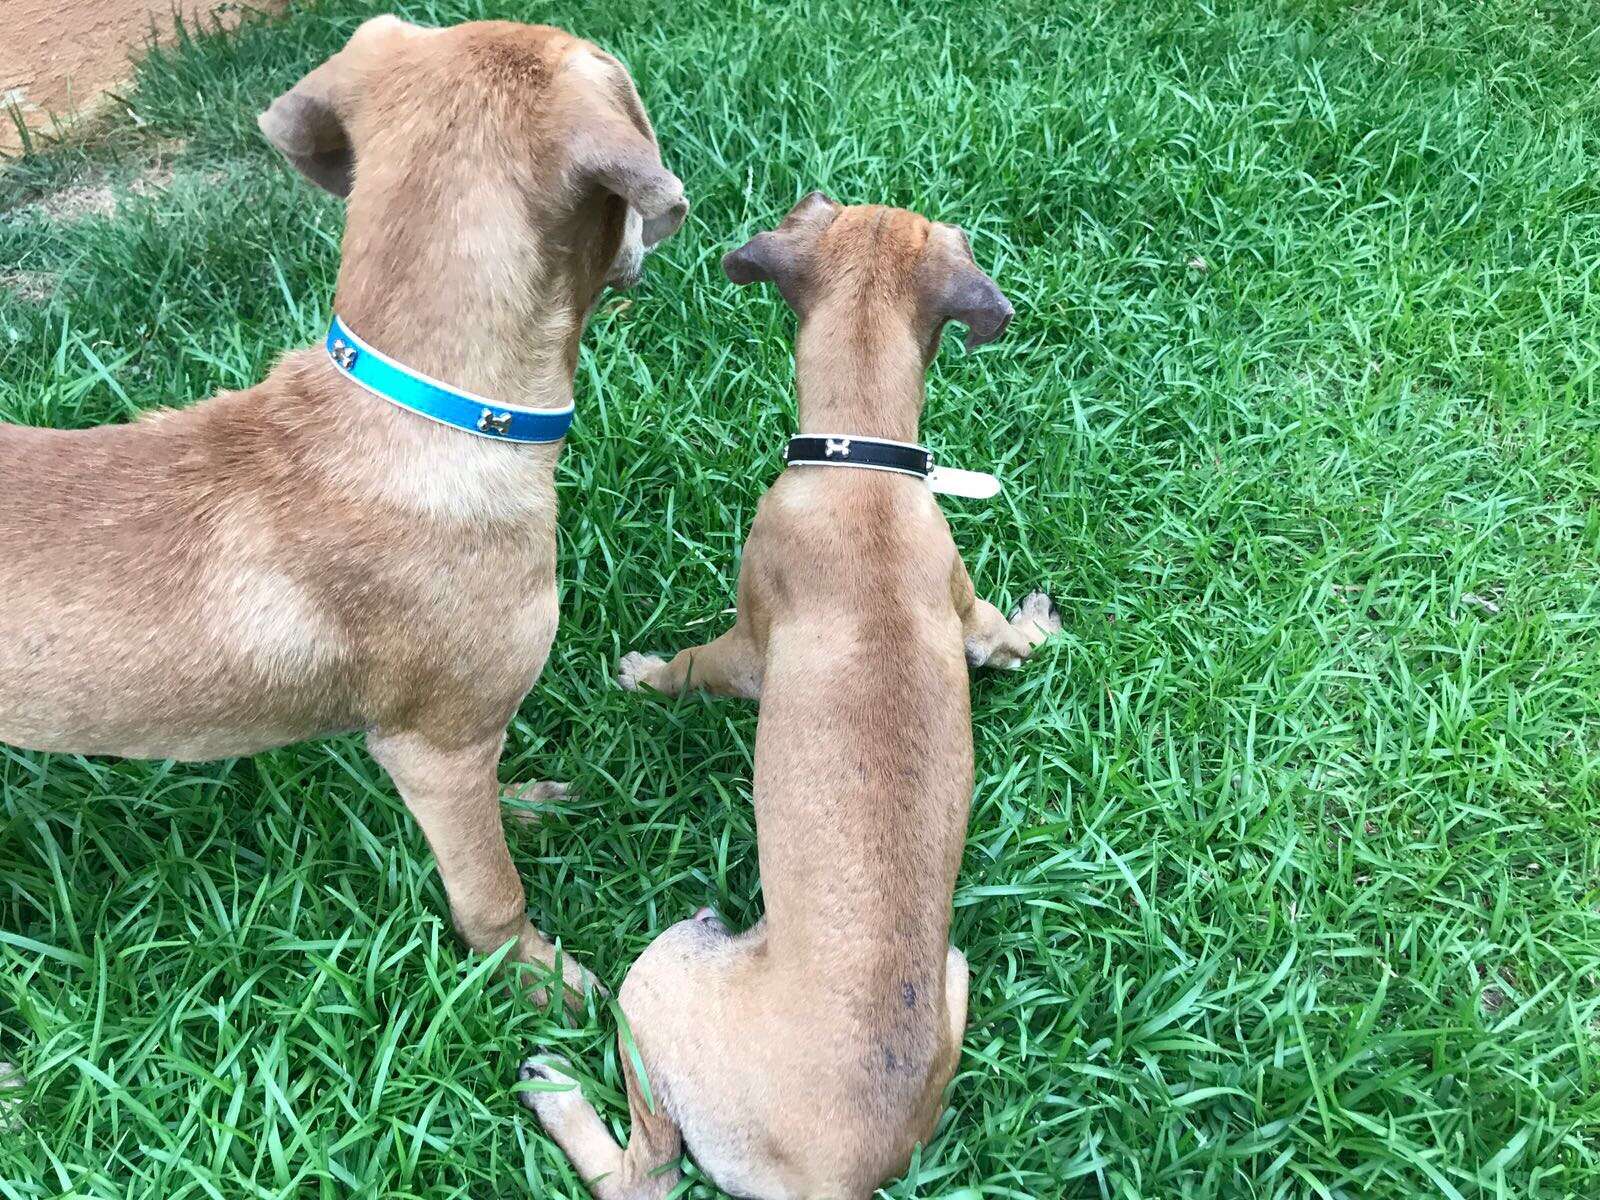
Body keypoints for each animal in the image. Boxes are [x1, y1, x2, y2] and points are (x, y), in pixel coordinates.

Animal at [0, 16, 681, 1004]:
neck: (424, 415)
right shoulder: (434, 748)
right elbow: (490, 892)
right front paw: (540, 982)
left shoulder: (461, 741)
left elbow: (492, 803)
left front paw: (523, 804)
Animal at [518, 192, 1056, 1196]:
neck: (866, 466)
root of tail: (831, 1180)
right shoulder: (967, 612)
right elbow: (1007, 640)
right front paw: (1038, 624)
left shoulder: (744, 645)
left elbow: (692, 667)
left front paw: (643, 675)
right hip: (954, 969)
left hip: (659, 975)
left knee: (643, 1168)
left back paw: (554, 1090)